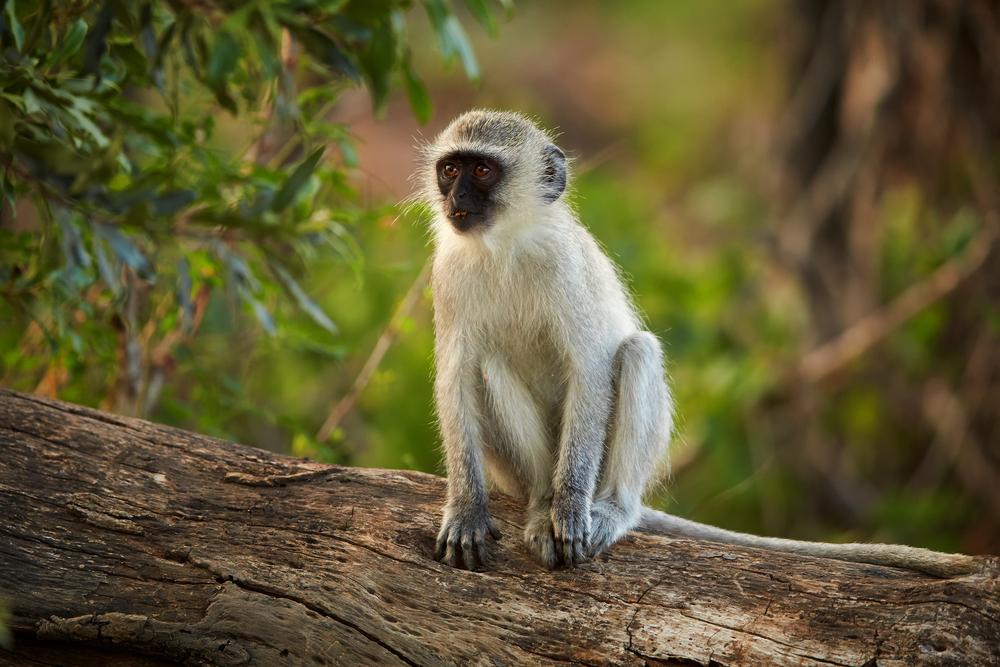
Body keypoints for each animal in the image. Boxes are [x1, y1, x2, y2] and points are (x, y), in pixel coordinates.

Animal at [417, 109, 979, 578]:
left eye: (482, 171)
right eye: (450, 170)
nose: (455, 200)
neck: (505, 246)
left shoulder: (562, 264)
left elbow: (590, 370)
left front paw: (570, 506)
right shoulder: (448, 274)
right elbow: (455, 380)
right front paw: (465, 509)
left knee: (637, 354)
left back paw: (610, 507)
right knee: (490, 366)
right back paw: (538, 504)